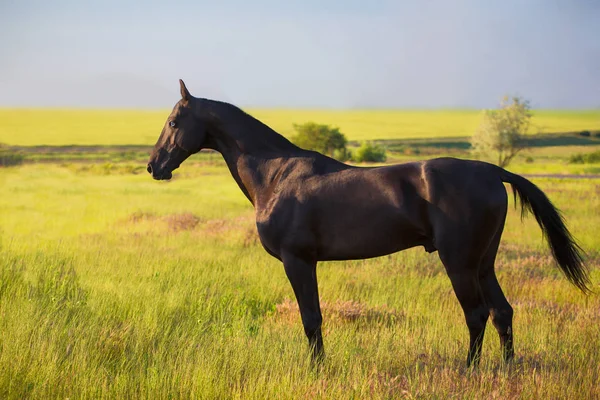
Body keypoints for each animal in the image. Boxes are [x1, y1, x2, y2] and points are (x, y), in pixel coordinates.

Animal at [146, 79, 592, 366]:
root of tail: (489, 170)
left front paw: (317, 370)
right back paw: (506, 370)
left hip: (459, 262)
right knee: (502, 312)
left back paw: (470, 369)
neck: (276, 174)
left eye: (173, 123)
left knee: (477, 313)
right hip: (484, 262)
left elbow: (311, 319)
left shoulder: (298, 261)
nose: (154, 166)